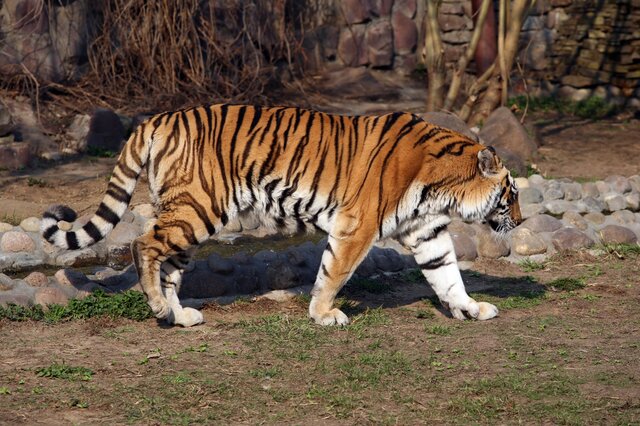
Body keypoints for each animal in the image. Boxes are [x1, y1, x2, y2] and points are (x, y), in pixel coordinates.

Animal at [38, 105, 520, 328]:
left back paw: (180, 317)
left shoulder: (427, 233)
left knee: (168, 264)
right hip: (198, 208)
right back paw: (158, 308)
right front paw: (325, 315)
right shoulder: (356, 227)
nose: (520, 219)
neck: (444, 189)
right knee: (144, 245)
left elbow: (448, 275)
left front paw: (471, 308)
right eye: (511, 194)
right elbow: (333, 274)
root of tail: (157, 118)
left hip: (189, 215)